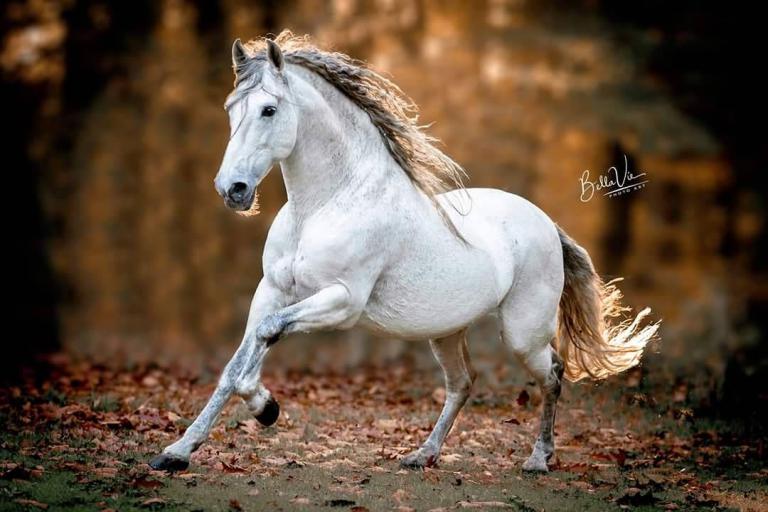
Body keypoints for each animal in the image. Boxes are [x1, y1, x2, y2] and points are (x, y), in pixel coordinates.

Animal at [149, 31, 659, 473]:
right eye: (230, 109)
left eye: (269, 110)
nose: (231, 190)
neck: (325, 205)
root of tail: (547, 224)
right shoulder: (271, 291)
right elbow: (235, 363)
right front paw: (177, 452)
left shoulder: (343, 302)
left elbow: (264, 338)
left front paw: (265, 407)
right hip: (446, 332)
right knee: (463, 383)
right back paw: (423, 455)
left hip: (522, 333)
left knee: (552, 373)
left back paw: (538, 459)